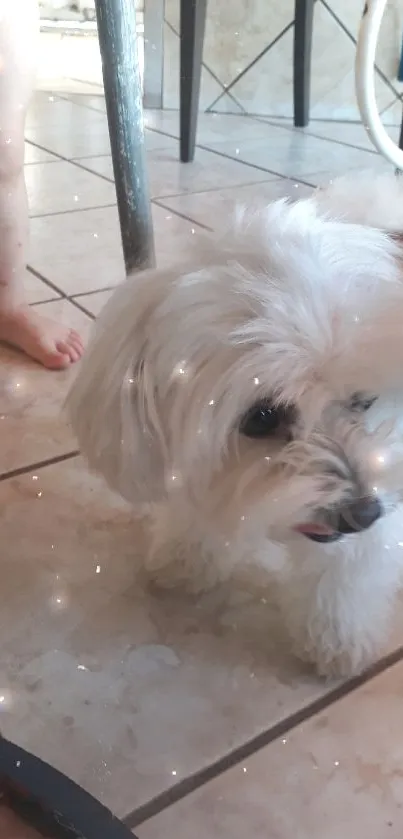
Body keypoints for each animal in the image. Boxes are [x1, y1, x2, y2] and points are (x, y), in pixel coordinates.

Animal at [68, 174, 403, 680]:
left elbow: (343, 572)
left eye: (363, 400)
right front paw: (188, 555)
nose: (362, 513)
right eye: (261, 418)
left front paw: (337, 640)